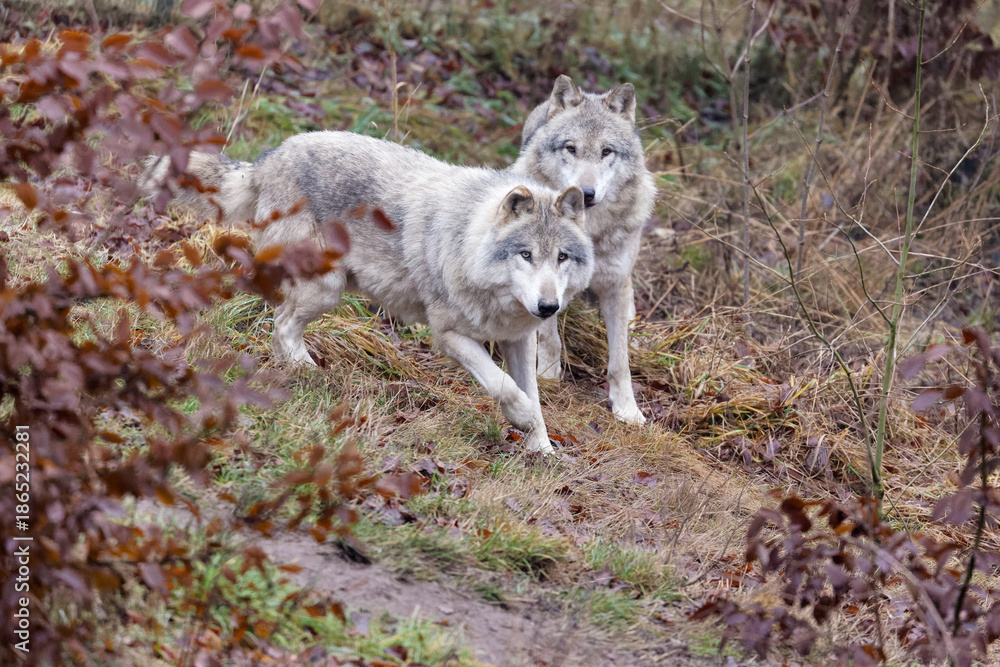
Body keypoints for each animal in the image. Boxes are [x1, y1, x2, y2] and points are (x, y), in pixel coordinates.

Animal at [143, 131, 594, 454]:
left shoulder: (519, 338)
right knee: (281, 324)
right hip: (325, 290)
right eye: (526, 254)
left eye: (562, 257)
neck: (469, 245)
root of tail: (267, 159)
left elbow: (532, 395)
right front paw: (520, 419)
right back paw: (312, 376)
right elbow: (504, 387)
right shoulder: (448, 336)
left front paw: (544, 450)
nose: (548, 306)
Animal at [512, 75, 656, 425]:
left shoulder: (616, 285)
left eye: (606, 151)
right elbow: (550, 338)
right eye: (571, 148)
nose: (586, 193)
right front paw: (548, 377)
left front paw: (627, 409)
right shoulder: (544, 283)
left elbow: (620, 361)